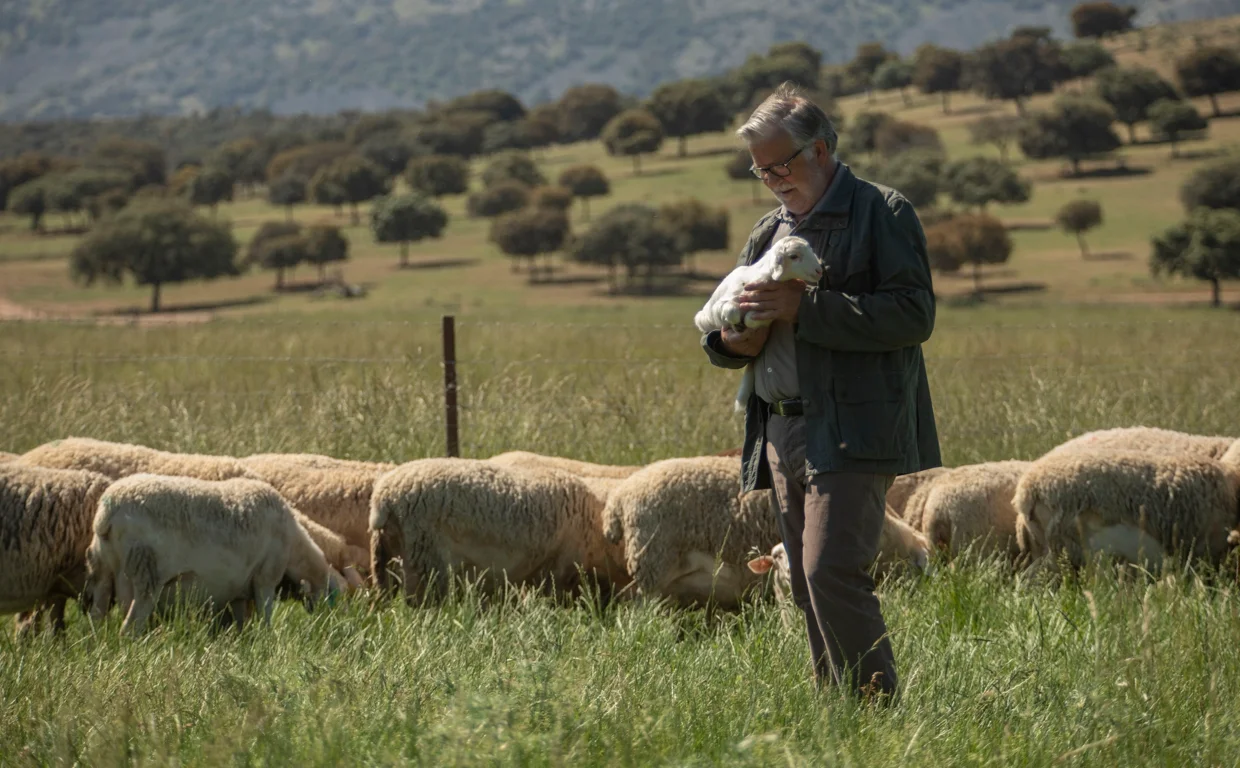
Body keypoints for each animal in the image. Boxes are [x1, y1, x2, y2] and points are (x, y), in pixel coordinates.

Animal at [86, 474, 344, 634]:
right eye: (334, 598)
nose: (329, 629)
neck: (294, 547)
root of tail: (108, 513)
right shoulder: (265, 577)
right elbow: (265, 617)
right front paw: (267, 641)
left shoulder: (239, 588)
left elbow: (240, 624)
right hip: (145, 573)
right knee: (130, 627)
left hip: (102, 570)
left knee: (97, 617)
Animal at [692, 236, 823, 412]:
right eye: (794, 256)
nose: (819, 271)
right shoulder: (717, 308)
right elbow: (732, 311)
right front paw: (736, 325)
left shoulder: (769, 309)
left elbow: (752, 319)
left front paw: (747, 321)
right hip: (703, 316)